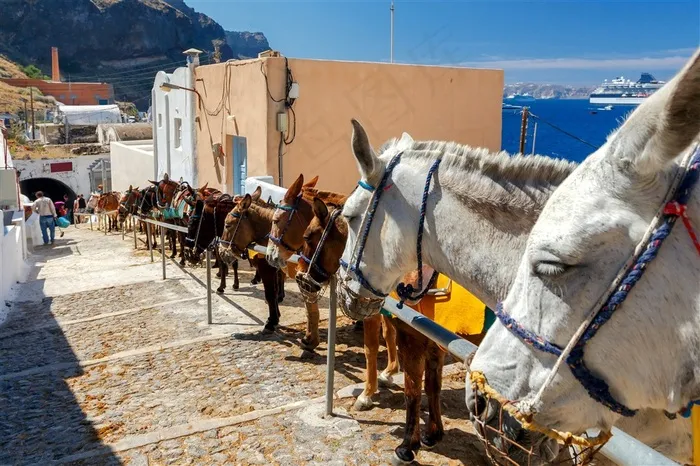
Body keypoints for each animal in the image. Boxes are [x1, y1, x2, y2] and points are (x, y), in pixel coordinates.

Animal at [336, 119, 692, 463]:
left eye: (349, 216)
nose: (343, 293)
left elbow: (412, 385)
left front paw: (406, 444)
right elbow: (430, 382)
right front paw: (428, 433)